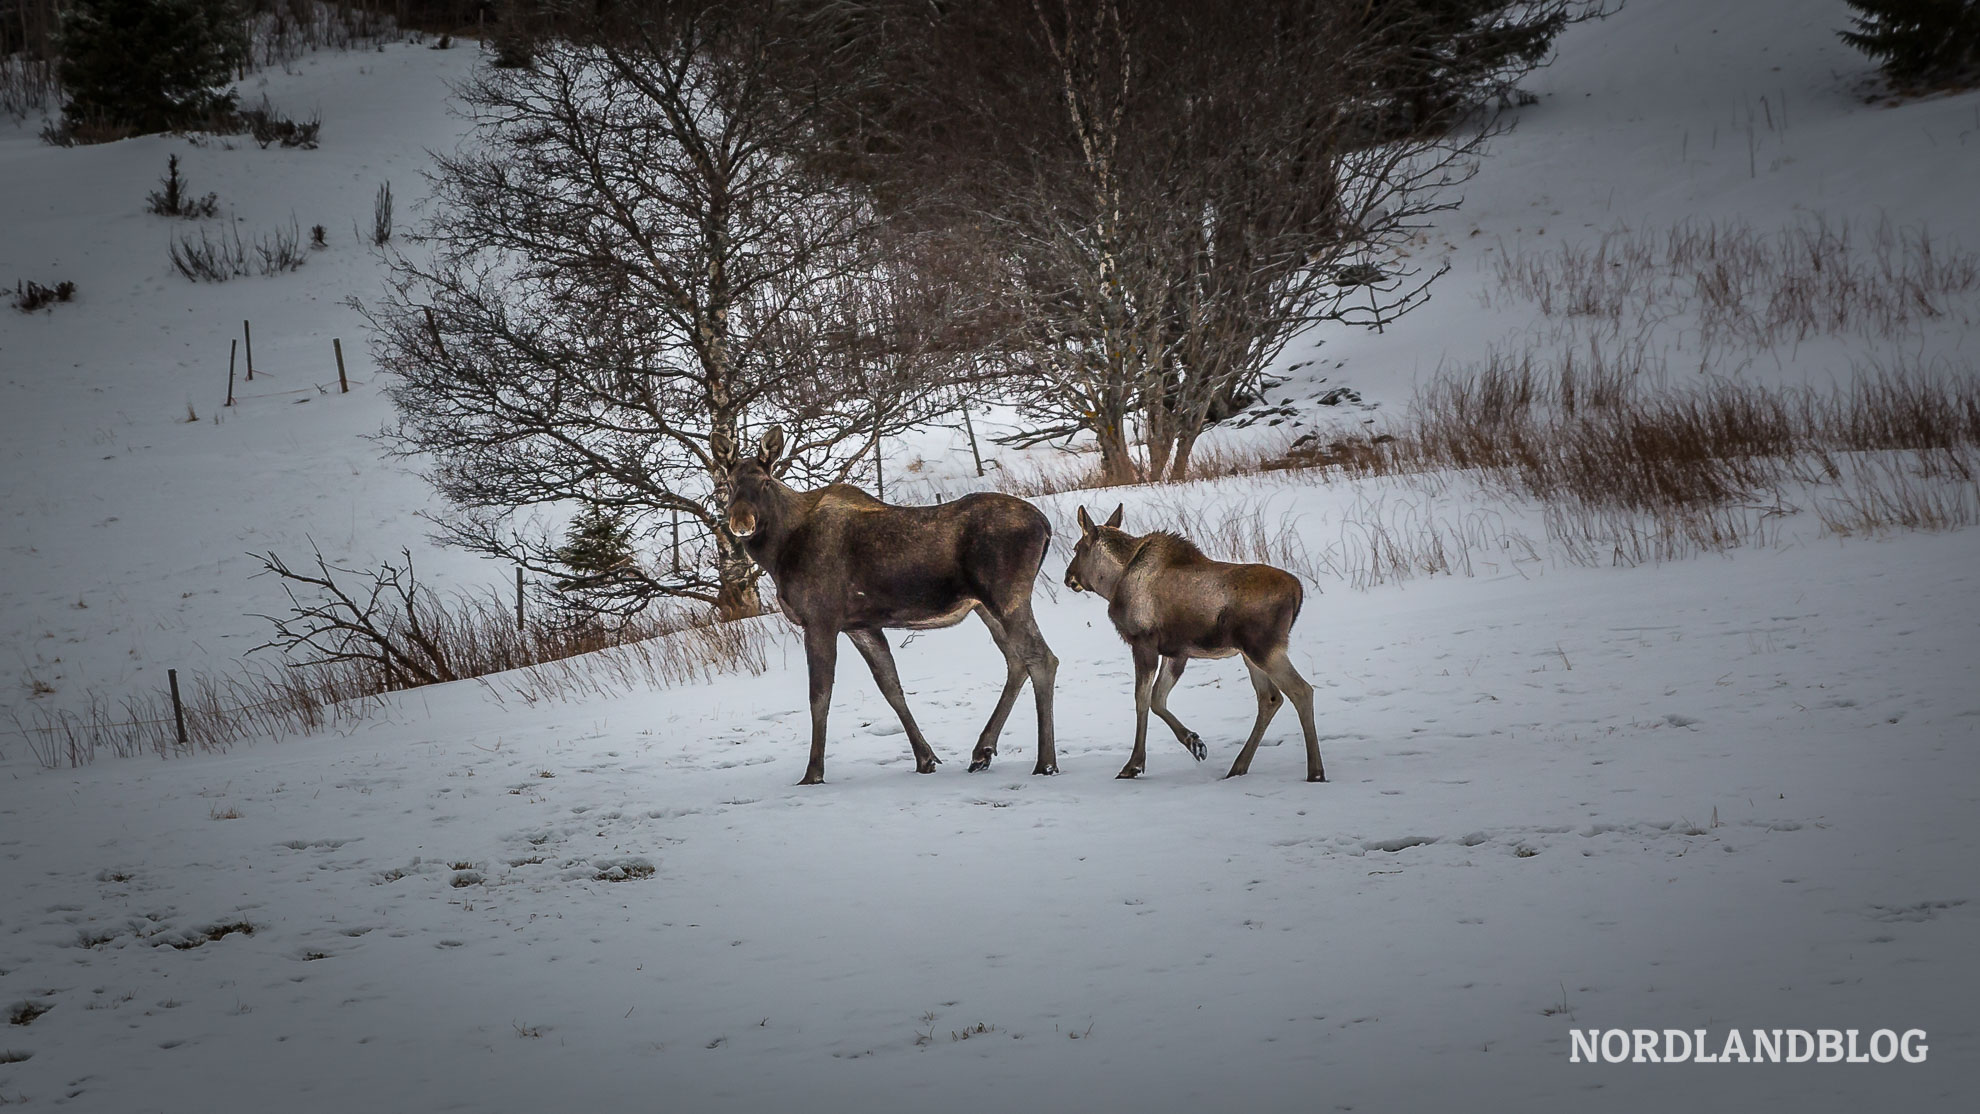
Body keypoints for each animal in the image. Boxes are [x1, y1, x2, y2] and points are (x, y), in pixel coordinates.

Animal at [720, 427, 1061, 783]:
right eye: (727, 483)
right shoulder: (861, 626)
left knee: (1041, 658)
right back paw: (983, 751)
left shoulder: (820, 620)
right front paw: (925, 759)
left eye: (765, 482)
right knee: (1016, 661)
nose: (741, 522)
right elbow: (891, 687)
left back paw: (1045, 762)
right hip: (986, 606)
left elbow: (819, 696)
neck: (778, 554)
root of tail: (1045, 525)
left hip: (1007, 596)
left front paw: (813, 773)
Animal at [1061, 506, 1322, 783]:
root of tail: (1298, 591)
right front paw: (1195, 743)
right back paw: (1238, 766)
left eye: (1077, 547)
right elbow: (1158, 699)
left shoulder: (1143, 643)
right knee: (1270, 698)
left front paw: (1133, 765)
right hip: (1250, 654)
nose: (1069, 576)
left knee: (1301, 690)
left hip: (1264, 647)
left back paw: (1315, 771)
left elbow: (1142, 699)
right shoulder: (1176, 652)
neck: (1112, 583)